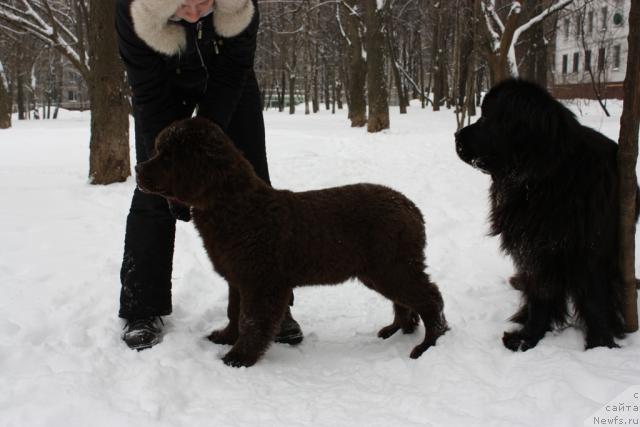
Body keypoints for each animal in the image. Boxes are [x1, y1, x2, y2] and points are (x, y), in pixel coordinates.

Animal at [135, 117, 444, 368]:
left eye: (168, 156)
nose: (137, 168)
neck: (235, 207)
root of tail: (411, 207)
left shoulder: (262, 282)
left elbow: (251, 320)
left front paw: (239, 357)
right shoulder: (238, 279)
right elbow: (234, 311)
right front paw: (226, 337)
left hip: (392, 268)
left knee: (430, 298)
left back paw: (428, 345)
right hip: (382, 271)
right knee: (406, 301)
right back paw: (395, 330)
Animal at [458, 78, 636, 352]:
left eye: (486, 117)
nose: (456, 136)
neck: (544, 179)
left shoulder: (592, 249)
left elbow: (594, 300)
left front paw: (600, 345)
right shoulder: (535, 250)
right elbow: (540, 296)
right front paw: (527, 336)